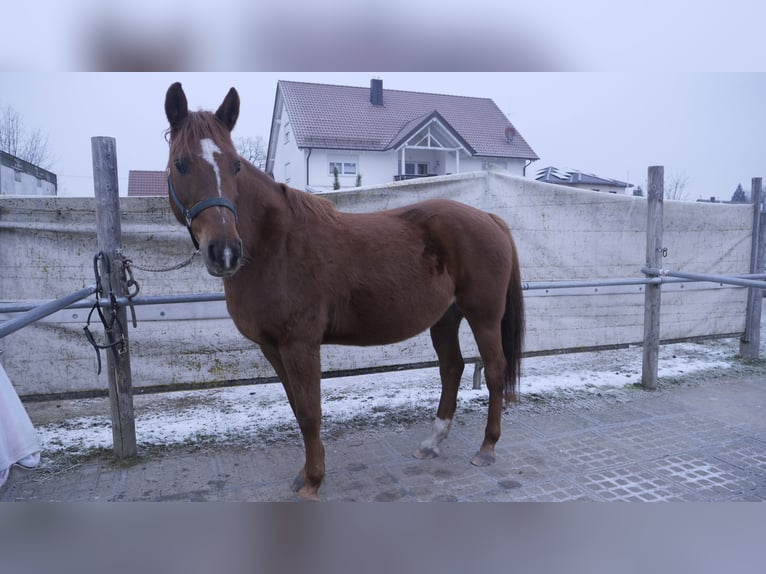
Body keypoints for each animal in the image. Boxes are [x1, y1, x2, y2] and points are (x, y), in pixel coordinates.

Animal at [163, 82, 524, 500]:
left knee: (495, 371)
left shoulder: (300, 345)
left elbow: (309, 413)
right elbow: (297, 408)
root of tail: (489, 218)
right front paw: (306, 473)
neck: (275, 244)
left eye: (235, 166)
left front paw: (313, 481)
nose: (224, 251)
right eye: (181, 164)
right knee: (452, 368)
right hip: (445, 318)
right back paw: (432, 443)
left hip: (484, 316)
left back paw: (487, 447)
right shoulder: (273, 348)